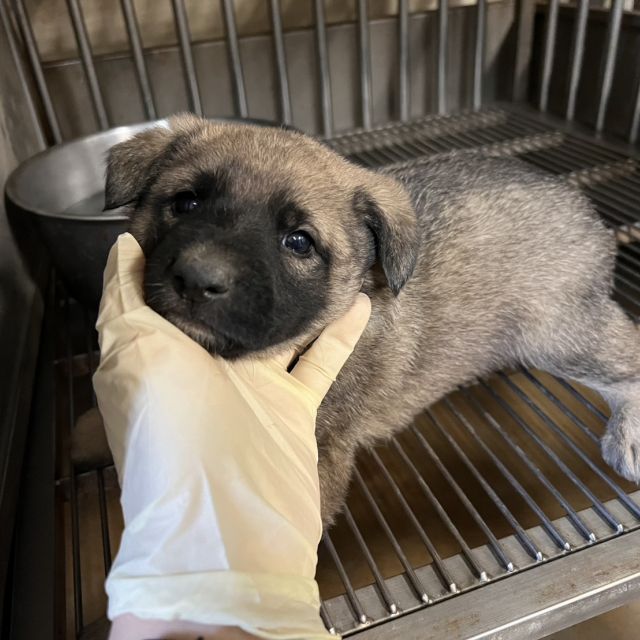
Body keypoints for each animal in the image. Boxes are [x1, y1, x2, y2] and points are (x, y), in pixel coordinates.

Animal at [100, 113, 640, 525]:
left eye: (299, 242)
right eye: (186, 202)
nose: (197, 279)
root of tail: (587, 211)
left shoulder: (320, 455)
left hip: (555, 332)